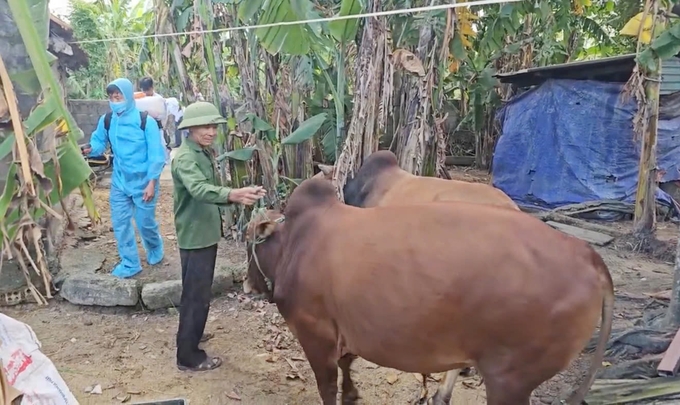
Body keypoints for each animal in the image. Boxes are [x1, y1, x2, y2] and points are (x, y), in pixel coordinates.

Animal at [246, 178, 616, 404]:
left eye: (250, 237)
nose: (249, 284)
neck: (295, 242)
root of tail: (588, 254)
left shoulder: (315, 334)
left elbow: (327, 386)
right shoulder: (346, 332)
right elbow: (347, 370)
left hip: (509, 381)